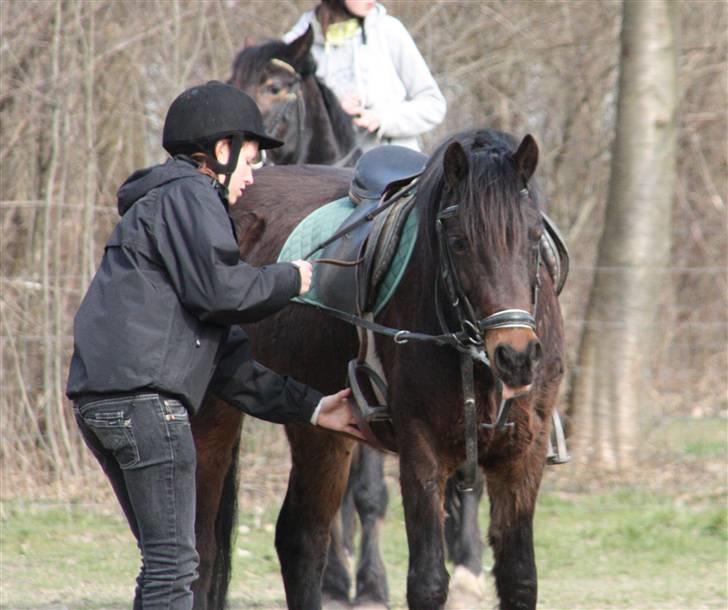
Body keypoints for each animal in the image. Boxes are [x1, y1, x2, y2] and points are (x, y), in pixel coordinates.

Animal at [191, 126, 564, 604]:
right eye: (459, 242)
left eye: (534, 237)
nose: (515, 356)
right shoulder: (422, 451)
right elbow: (427, 581)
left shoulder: (522, 457)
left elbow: (519, 579)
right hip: (213, 415)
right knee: (201, 544)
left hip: (317, 426)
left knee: (301, 539)